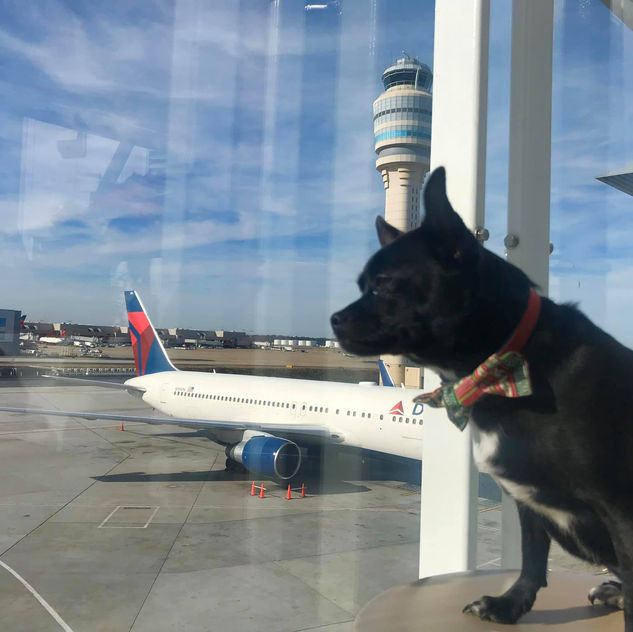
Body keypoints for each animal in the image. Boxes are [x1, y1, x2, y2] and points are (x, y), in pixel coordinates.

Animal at [330, 165, 632, 628]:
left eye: (382, 286)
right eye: (363, 285)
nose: (333, 319)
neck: (504, 367)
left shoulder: (620, 507)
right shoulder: (527, 499)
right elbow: (531, 558)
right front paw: (509, 605)